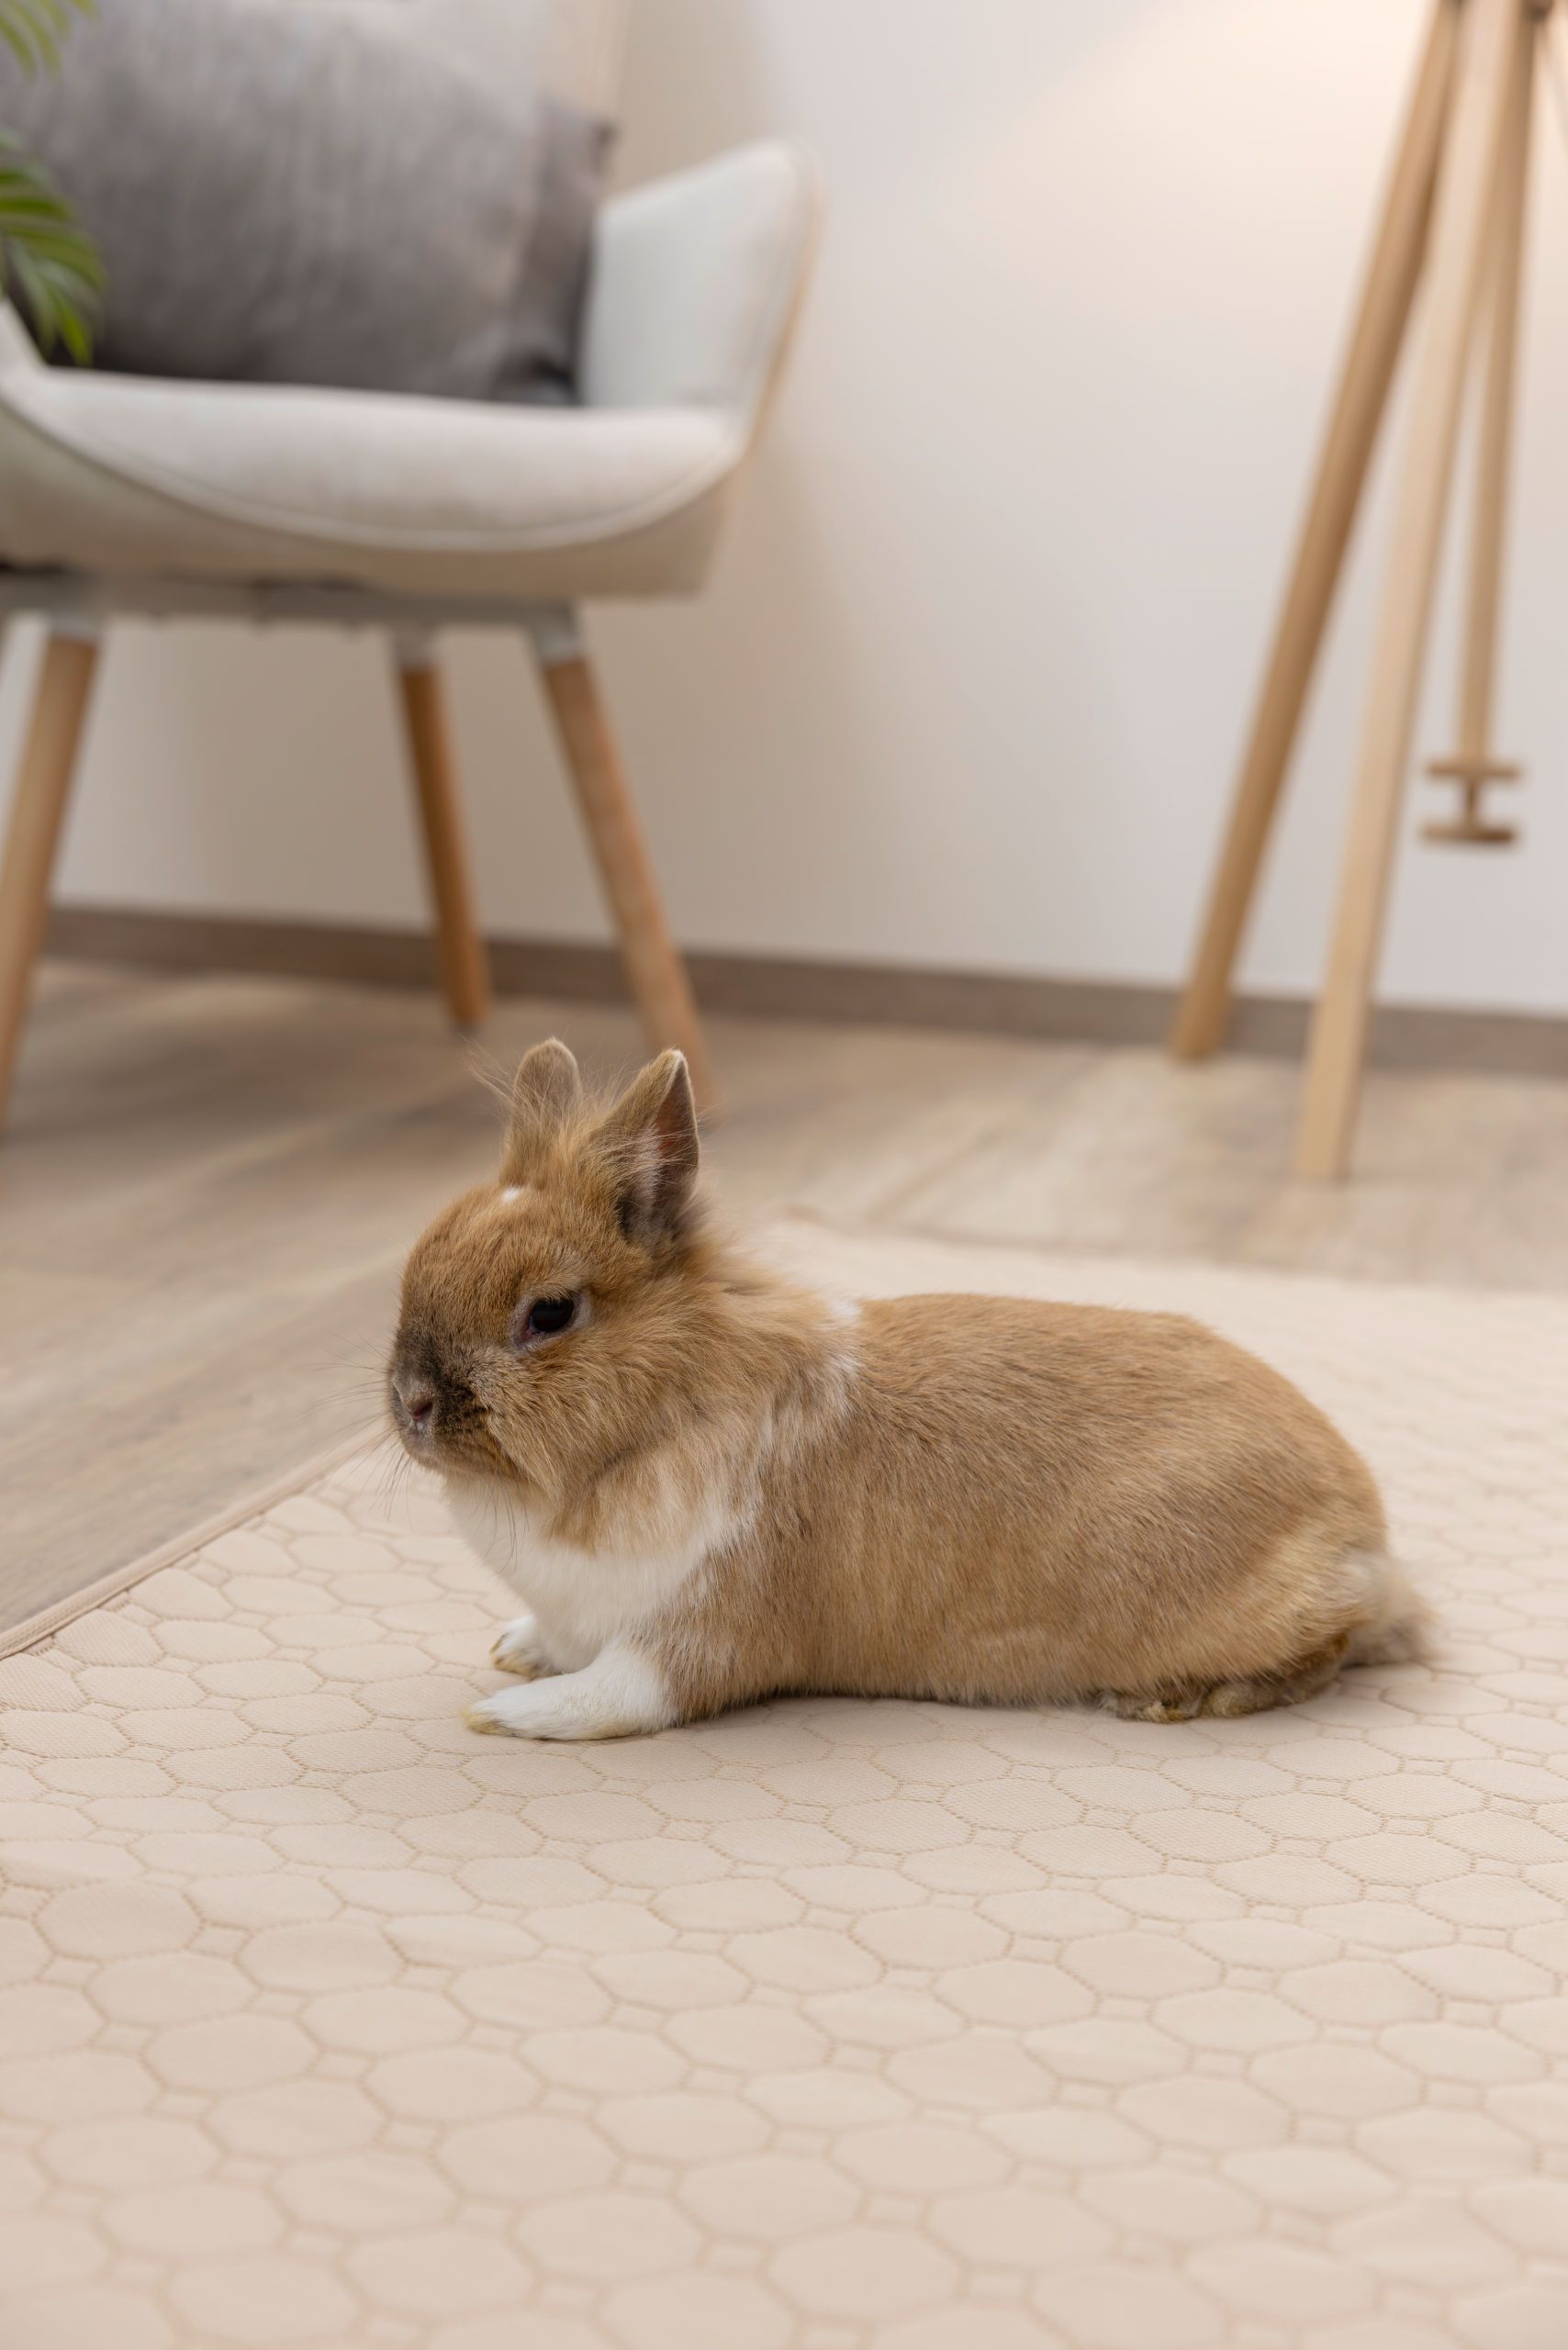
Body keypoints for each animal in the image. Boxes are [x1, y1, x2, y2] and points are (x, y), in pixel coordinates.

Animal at [386, 1038, 1428, 1741]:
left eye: (550, 1313)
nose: (411, 1403)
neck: (667, 1409)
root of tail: (1366, 1535)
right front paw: (516, 1647)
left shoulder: (701, 1630)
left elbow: (616, 1693)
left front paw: (506, 1709)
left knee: (1329, 1651)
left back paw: (1177, 1697)